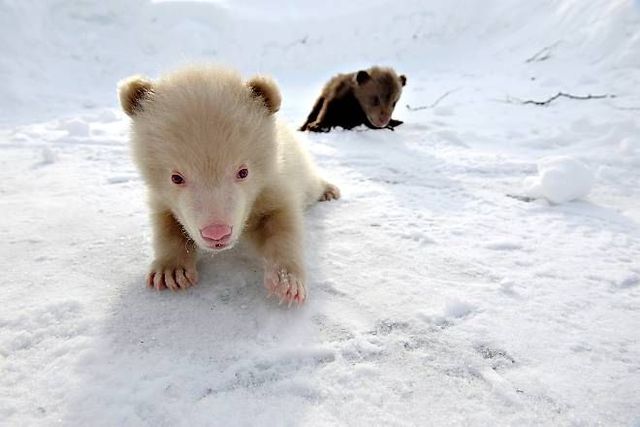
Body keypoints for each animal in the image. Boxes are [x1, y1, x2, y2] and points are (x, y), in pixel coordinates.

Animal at [118, 65, 340, 306]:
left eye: (243, 172)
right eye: (176, 177)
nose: (217, 234)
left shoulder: (273, 182)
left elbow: (282, 222)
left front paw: (286, 281)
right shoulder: (160, 196)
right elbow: (166, 223)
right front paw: (171, 271)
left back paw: (328, 190)